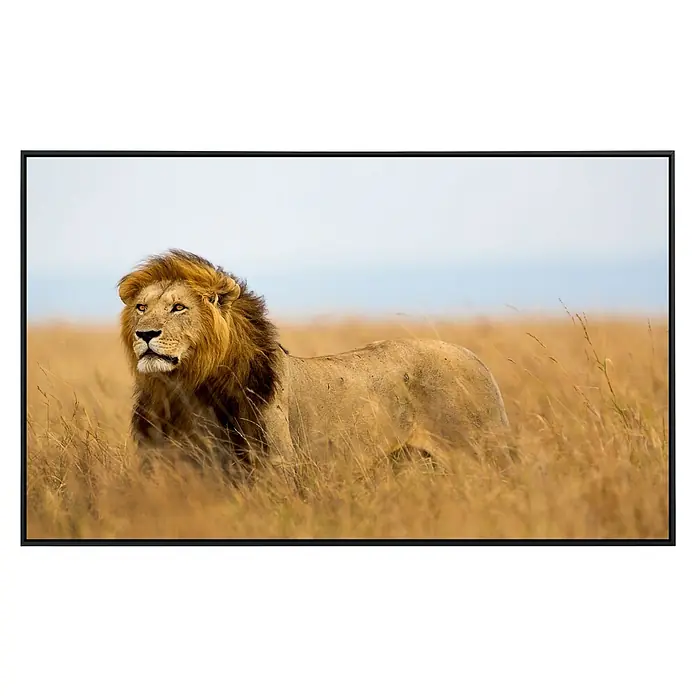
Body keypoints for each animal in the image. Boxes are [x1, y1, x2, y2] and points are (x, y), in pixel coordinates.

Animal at [118, 249, 513, 476]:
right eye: (141, 307)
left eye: (178, 307)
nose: (145, 334)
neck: (187, 388)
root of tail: (475, 358)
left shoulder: (275, 467)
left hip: (482, 454)